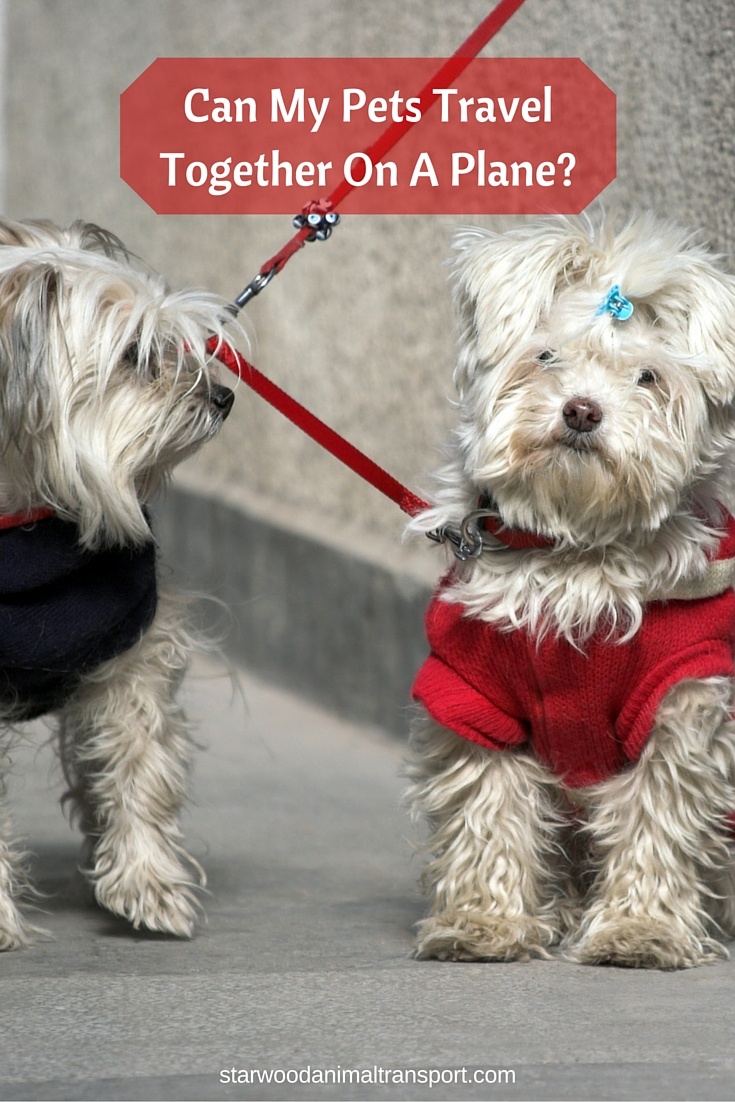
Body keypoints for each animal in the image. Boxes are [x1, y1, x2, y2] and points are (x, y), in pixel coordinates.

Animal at [407, 210, 735, 969]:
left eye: (647, 377)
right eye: (546, 357)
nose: (582, 412)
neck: (574, 554)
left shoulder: (680, 702)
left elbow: (657, 819)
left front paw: (640, 930)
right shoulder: (474, 693)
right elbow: (489, 814)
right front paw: (483, 921)